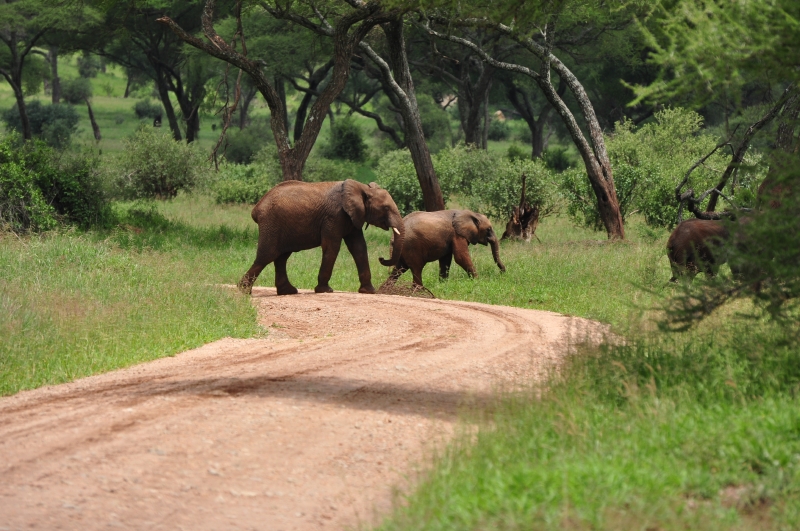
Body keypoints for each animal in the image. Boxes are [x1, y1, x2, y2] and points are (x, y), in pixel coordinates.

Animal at [237, 179, 405, 295]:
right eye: (385, 208)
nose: (382, 258)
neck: (362, 188)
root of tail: (257, 208)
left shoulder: (353, 217)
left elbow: (359, 247)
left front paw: (369, 291)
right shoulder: (335, 216)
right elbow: (332, 246)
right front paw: (325, 290)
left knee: (281, 257)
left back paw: (288, 292)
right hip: (271, 224)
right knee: (267, 256)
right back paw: (243, 291)